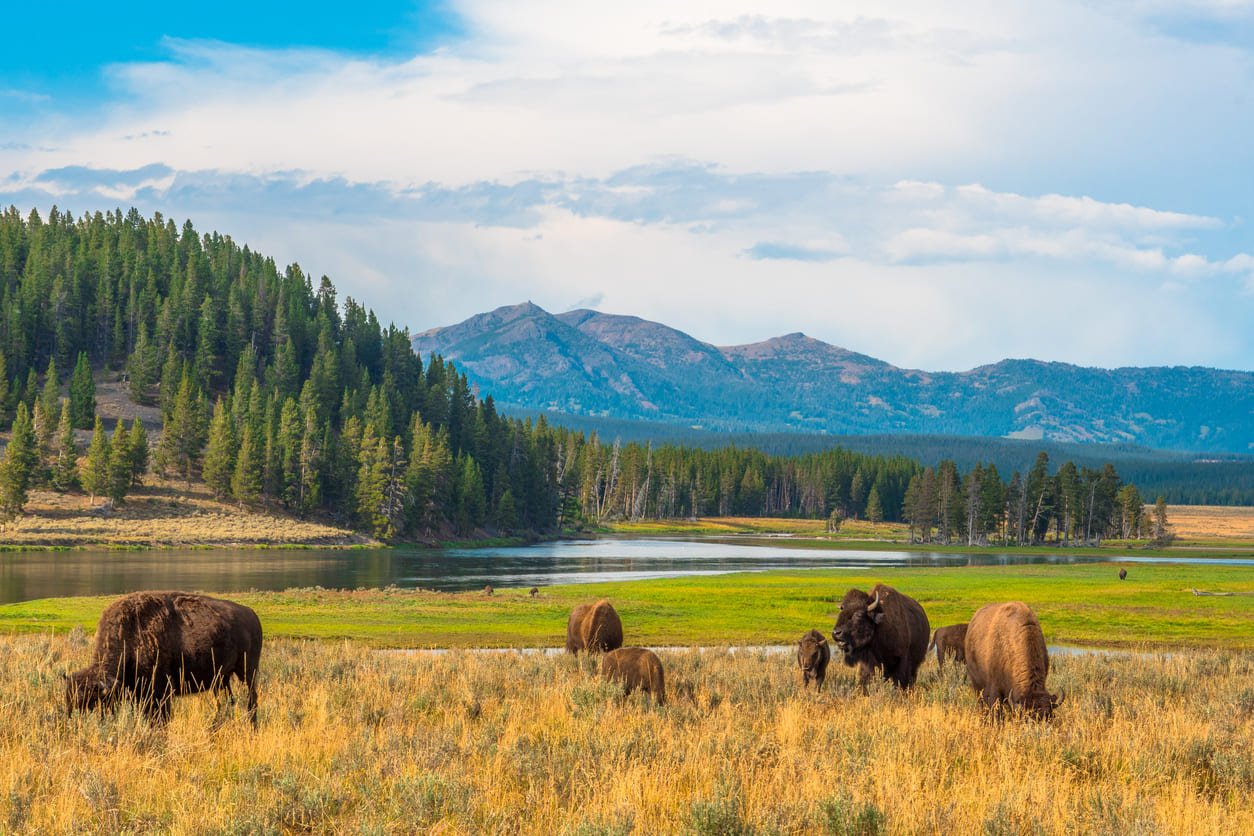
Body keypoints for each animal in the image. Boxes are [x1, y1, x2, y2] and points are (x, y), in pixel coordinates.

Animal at [65, 591, 262, 726]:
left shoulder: (161, 692)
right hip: (222, 678)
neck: (131, 634)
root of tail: (252, 614)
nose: (74, 722)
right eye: (69, 701)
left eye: (92, 703)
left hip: (247, 671)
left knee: (251, 699)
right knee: (226, 702)